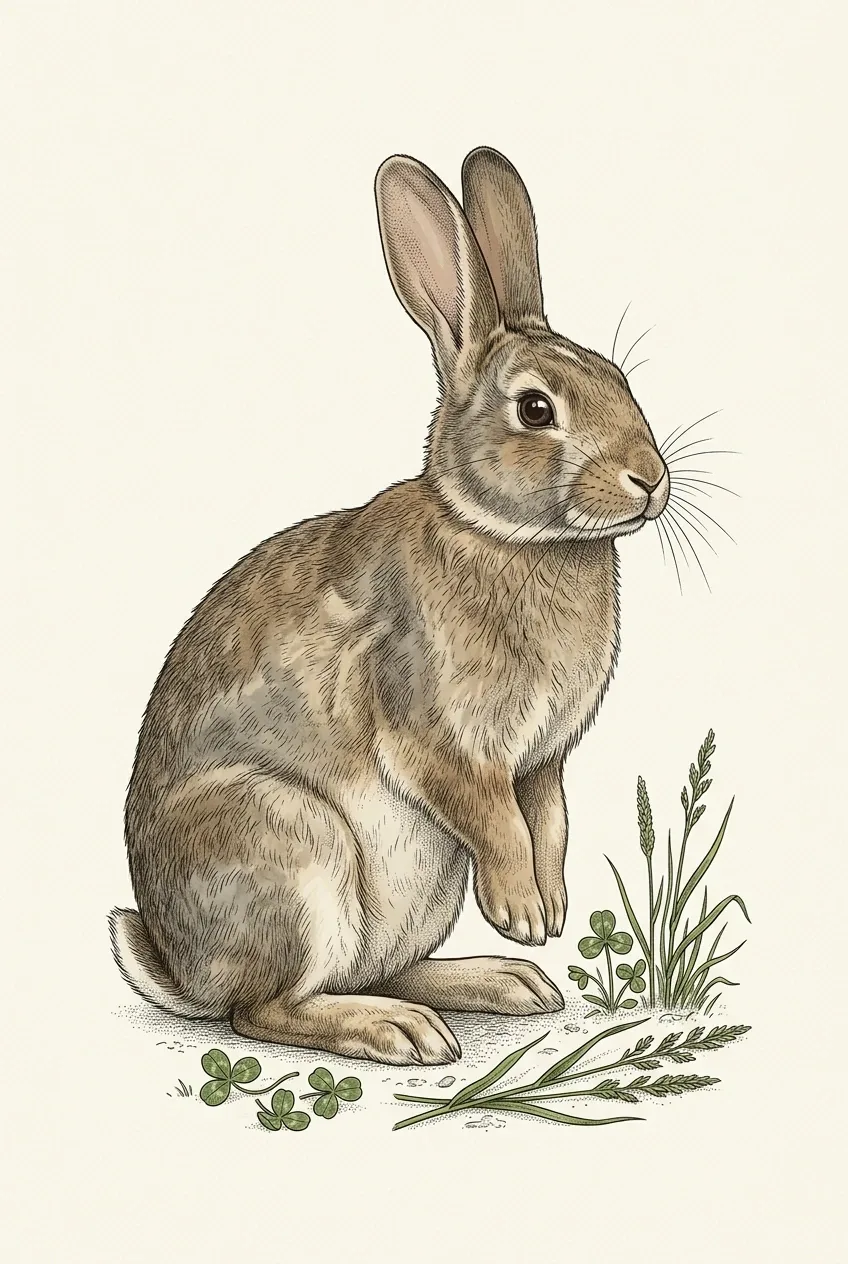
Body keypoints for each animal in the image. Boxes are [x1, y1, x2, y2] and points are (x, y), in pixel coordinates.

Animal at [110, 146, 669, 1065]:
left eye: (619, 379)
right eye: (536, 409)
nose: (650, 479)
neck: (507, 535)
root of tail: (182, 970)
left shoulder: (543, 759)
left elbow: (546, 820)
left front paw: (547, 912)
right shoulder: (433, 737)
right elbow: (495, 818)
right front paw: (523, 911)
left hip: (412, 893)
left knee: (375, 970)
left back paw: (499, 984)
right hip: (292, 848)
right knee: (267, 1008)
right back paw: (398, 1029)